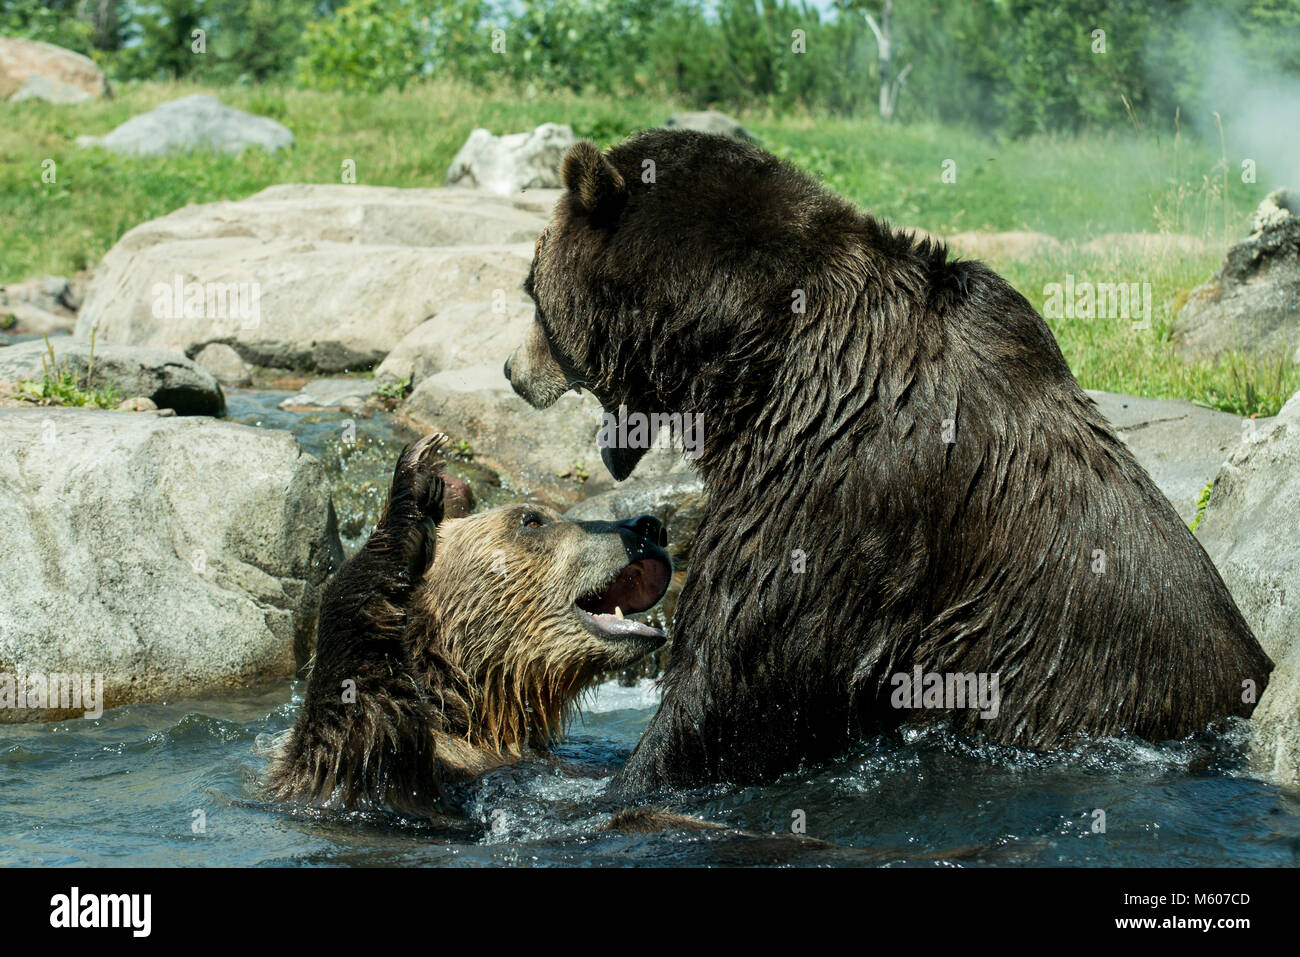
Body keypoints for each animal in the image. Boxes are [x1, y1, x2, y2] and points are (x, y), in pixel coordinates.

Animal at [501, 130, 1274, 795]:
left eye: (530, 288)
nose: (511, 371)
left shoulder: (839, 474)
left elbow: (747, 666)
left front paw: (623, 779)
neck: (748, 350)